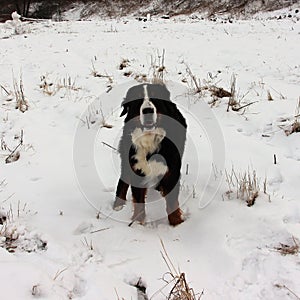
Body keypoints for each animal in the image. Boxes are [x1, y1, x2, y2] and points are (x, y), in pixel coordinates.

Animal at [113, 82, 186, 225]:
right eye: (138, 98)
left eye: (155, 96)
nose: (148, 110)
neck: (149, 140)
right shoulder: (136, 169)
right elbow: (138, 200)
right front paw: (138, 223)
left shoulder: (172, 171)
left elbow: (172, 202)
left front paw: (176, 224)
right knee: (123, 180)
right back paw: (118, 205)